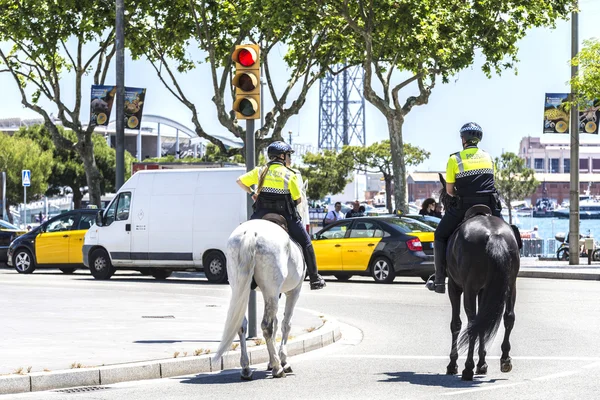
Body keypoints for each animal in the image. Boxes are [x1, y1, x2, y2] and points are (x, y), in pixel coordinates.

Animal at [212, 178, 310, 378]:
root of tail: (251, 232)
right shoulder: (292, 292)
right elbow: (285, 323)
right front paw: (282, 360)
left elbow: (277, 322)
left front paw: (271, 359)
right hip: (272, 290)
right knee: (266, 325)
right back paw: (277, 368)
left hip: (241, 288)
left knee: (242, 324)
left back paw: (246, 367)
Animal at [436, 173, 520, 380]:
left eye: (444, 201)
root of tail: (494, 236)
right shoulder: (485, 290)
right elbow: (485, 321)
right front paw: (482, 364)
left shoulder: (456, 288)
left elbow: (456, 324)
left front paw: (454, 364)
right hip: (510, 286)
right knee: (507, 317)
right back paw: (505, 360)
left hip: (469, 288)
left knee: (473, 322)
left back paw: (467, 368)